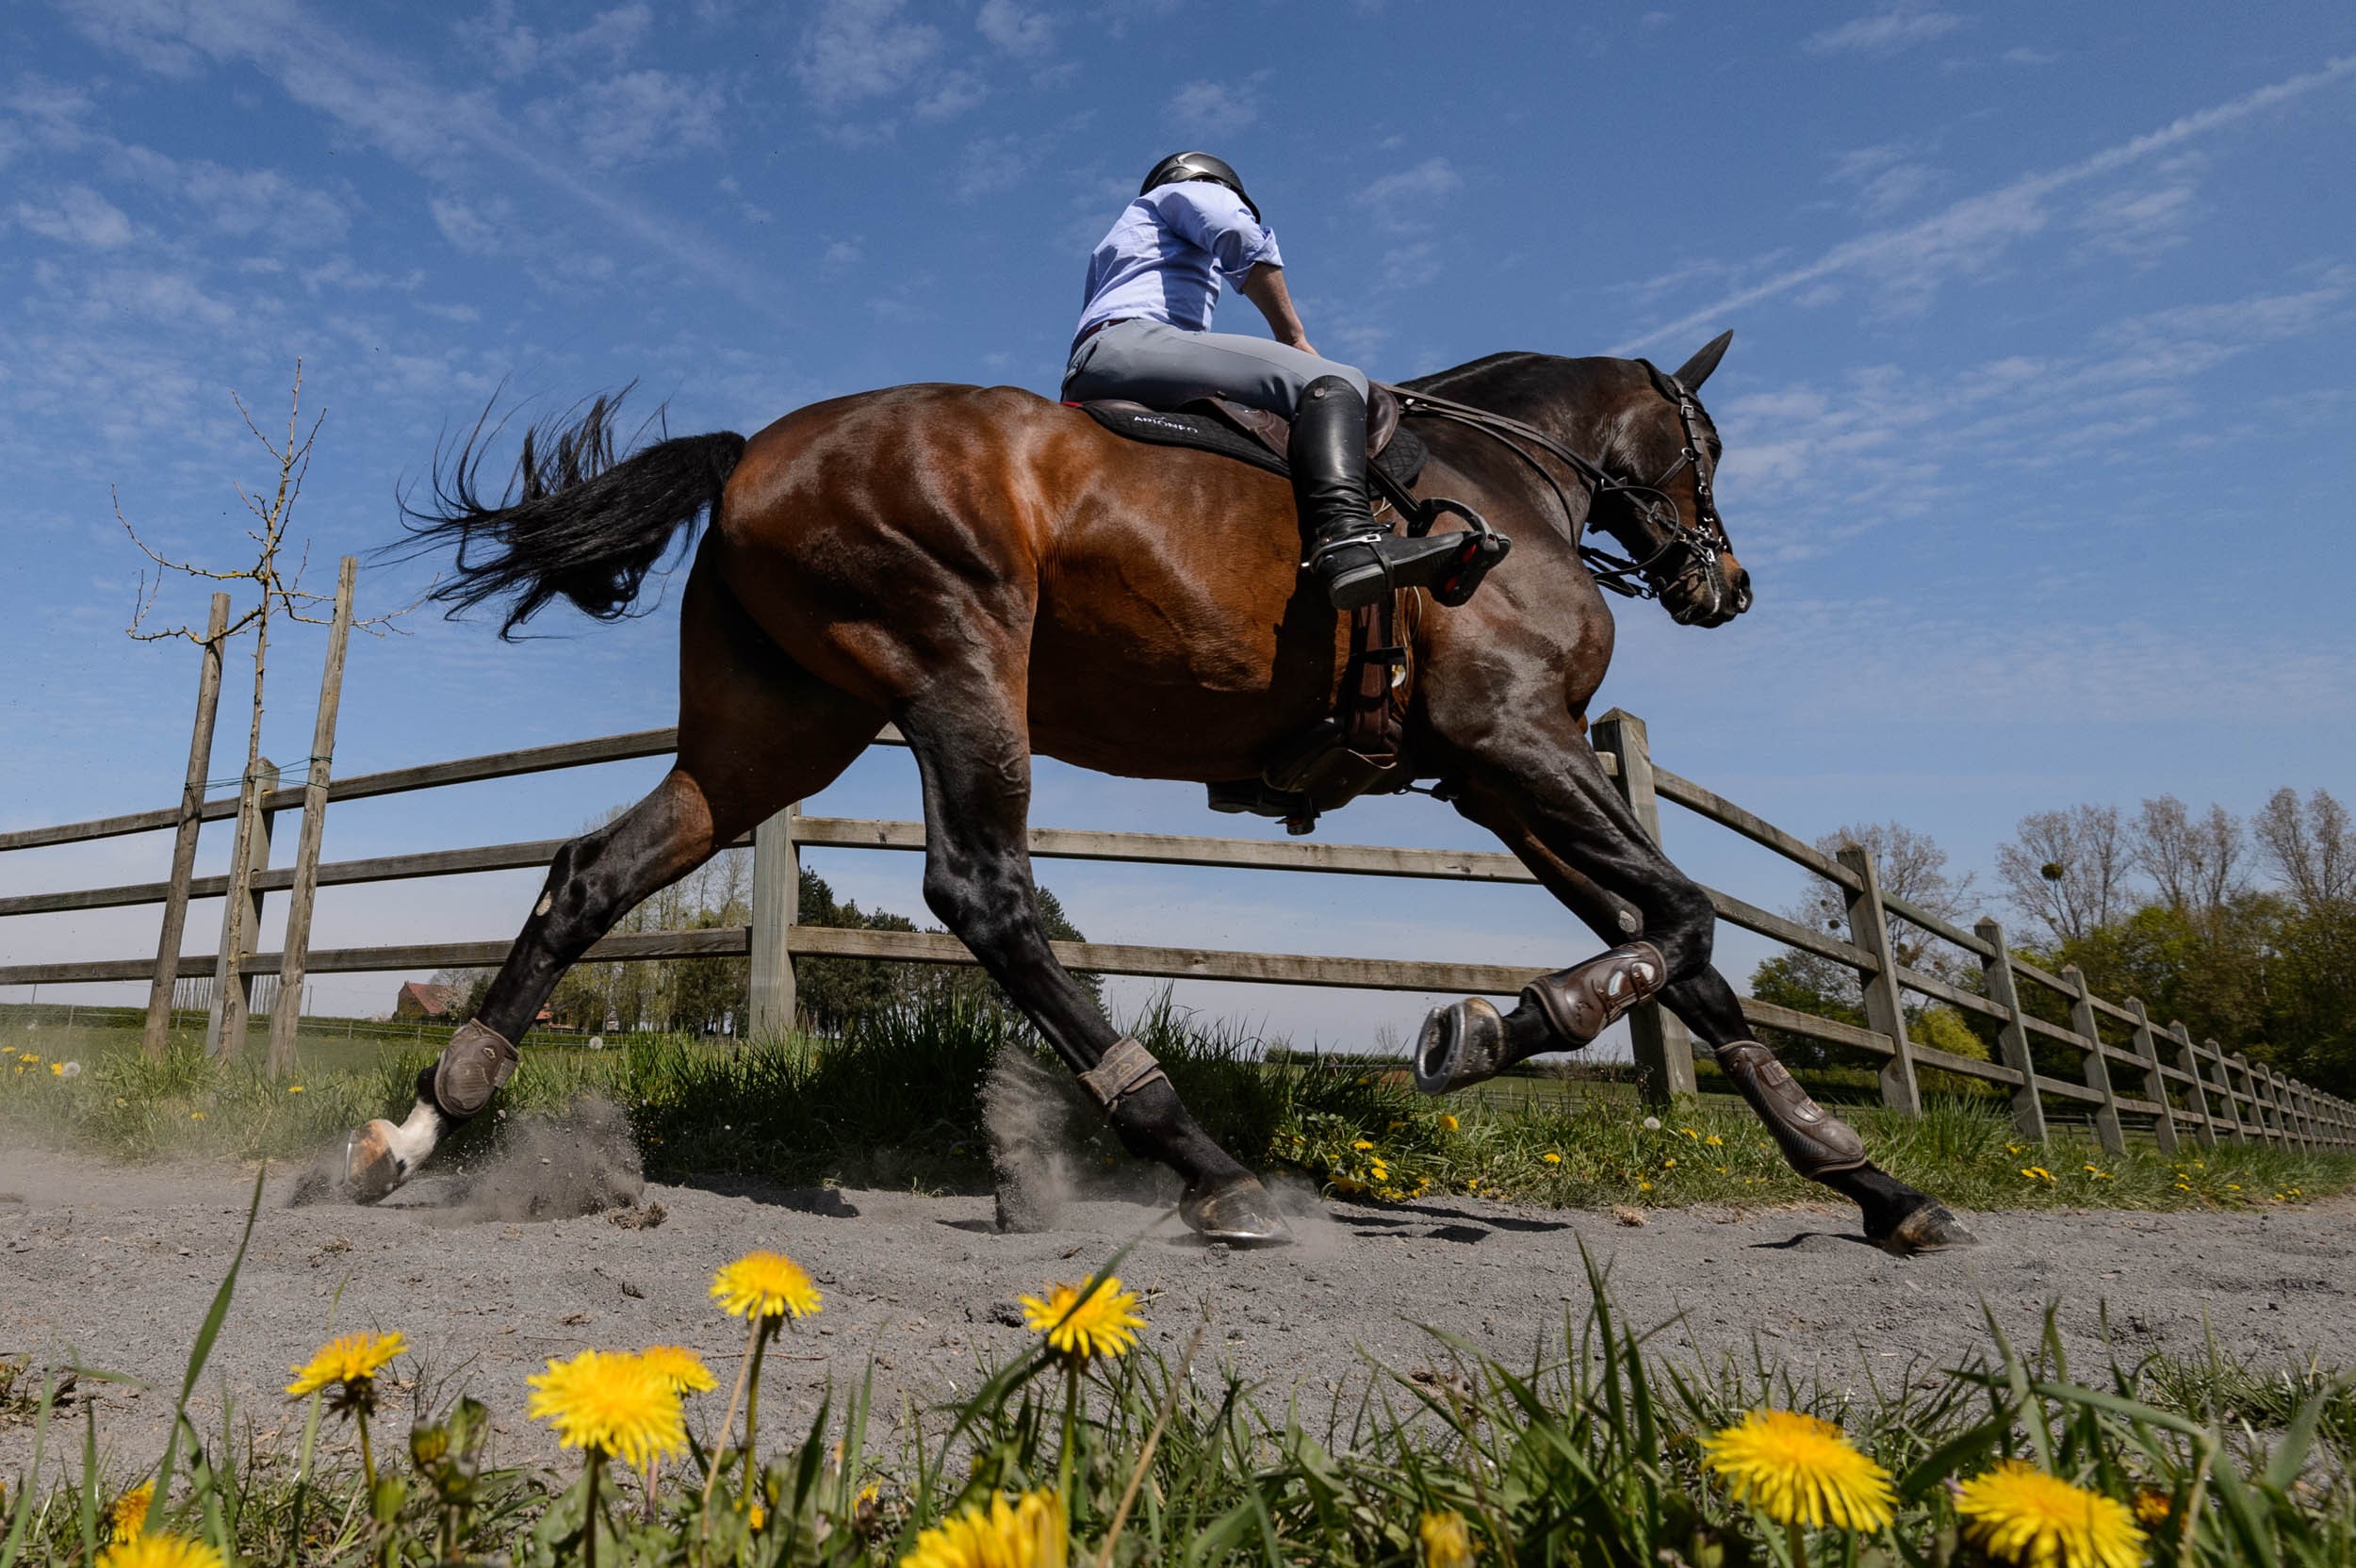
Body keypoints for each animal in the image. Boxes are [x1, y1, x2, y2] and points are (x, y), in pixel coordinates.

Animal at [344, 336, 1970, 1252]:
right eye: (1708, 447)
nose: (1724, 583)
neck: (1505, 488)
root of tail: (755, 454)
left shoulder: (1497, 778)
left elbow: (1688, 963)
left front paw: (1874, 1188)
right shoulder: (1518, 743)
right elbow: (1682, 923)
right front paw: (1487, 1031)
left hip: (774, 737)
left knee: (592, 874)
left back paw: (424, 1126)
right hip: (957, 665)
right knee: (985, 899)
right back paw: (1201, 1165)